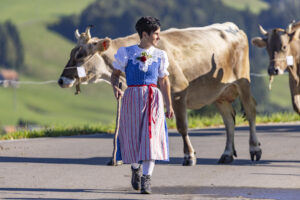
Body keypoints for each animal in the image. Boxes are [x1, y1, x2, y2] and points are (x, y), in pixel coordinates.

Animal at [58, 23, 260, 164]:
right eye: (71, 52)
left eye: (81, 55)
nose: (61, 80)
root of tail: (233, 27)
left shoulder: (178, 90)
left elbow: (182, 127)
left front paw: (189, 156)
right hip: (219, 94)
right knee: (229, 121)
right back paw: (226, 154)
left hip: (243, 81)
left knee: (250, 112)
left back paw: (255, 149)